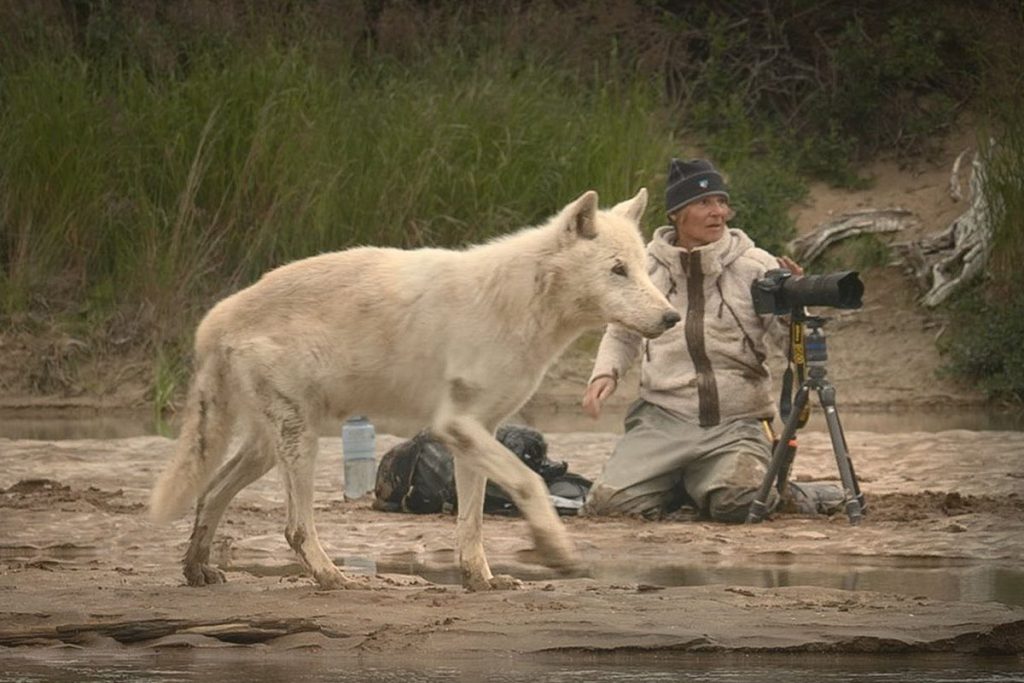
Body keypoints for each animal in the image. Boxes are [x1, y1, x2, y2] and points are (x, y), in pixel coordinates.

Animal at [149, 188, 679, 593]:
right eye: (617, 270)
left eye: (642, 269)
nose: (672, 317)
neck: (520, 302)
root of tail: (217, 318)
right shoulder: (456, 425)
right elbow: (529, 482)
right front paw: (555, 550)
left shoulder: (477, 435)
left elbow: (472, 523)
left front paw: (482, 580)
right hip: (299, 443)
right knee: (295, 527)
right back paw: (333, 578)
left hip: (269, 447)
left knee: (211, 494)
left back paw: (197, 570)